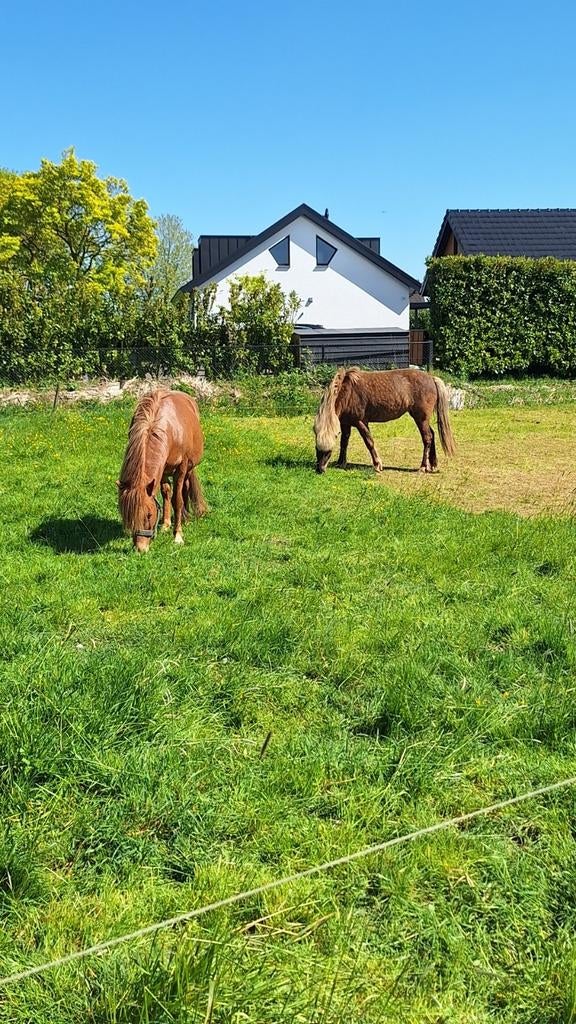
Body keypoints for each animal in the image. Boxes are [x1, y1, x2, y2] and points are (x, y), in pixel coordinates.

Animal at [118, 389, 207, 552]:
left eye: (148, 515)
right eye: (128, 517)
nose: (140, 549)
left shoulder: (181, 468)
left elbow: (177, 500)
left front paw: (178, 535)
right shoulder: (162, 468)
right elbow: (166, 493)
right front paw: (166, 526)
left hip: (189, 468)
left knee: (185, 488)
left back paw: (186, 519)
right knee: (167, 491)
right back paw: (167, 523)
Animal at [313, 367, 456, 475]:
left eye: (328, 451)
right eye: (316, 448)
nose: (320, 469)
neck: (348, 392)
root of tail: (432, 378)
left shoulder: (361, 422)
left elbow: (369, 442)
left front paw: (377, 465)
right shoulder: (345, 423)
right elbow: (344, 442)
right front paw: (341, 462)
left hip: (421, 418)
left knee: (427, 438)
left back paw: (423, 467)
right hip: (423, 419)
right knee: (432, 434)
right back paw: (433, 464)